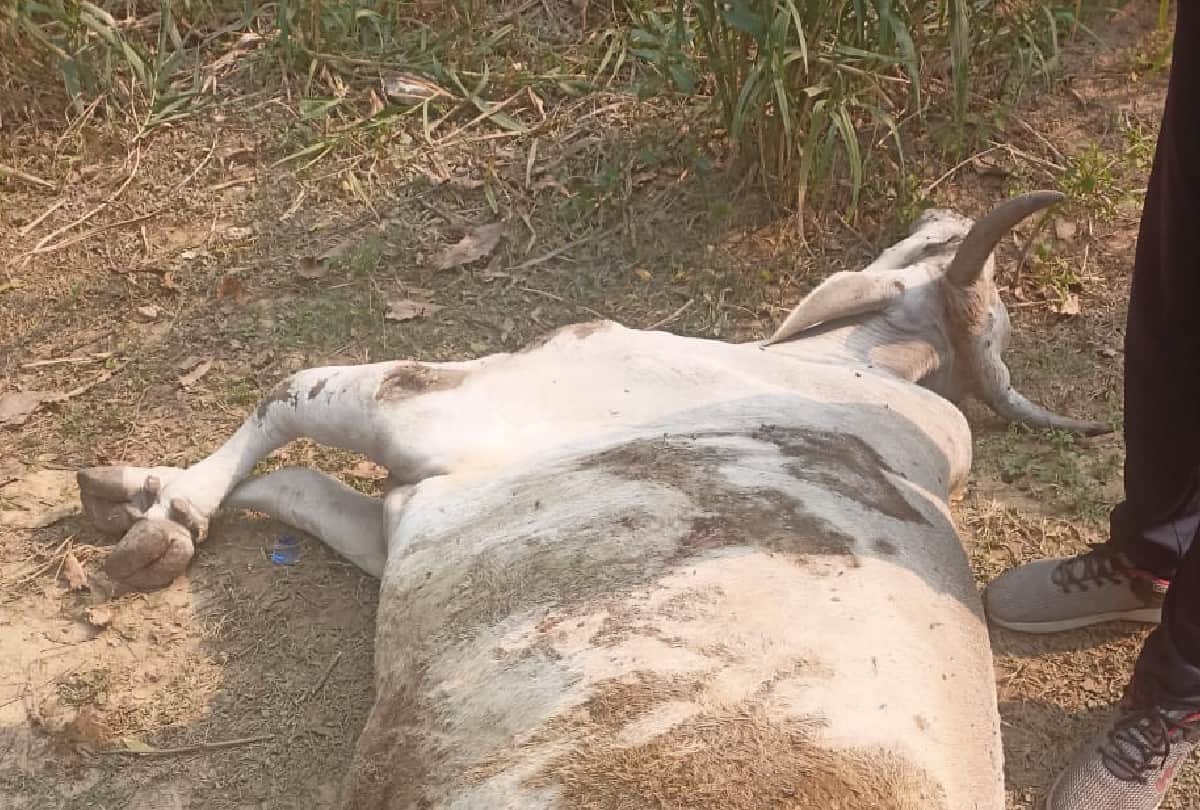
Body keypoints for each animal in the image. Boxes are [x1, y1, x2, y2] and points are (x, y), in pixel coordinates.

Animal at [75, 191, 1104, 809]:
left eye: (932, 246)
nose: (946, 207)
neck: (840, 375)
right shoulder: (400, 517)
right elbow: (288, 483)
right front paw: (142, 492)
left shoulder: (441, 406)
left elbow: (288, 394)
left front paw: (160, 517)